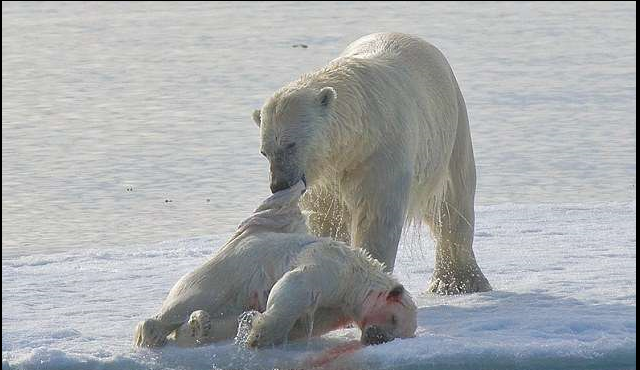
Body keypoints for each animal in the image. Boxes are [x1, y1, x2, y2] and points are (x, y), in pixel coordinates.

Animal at [132, 183, 418, 350]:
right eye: (394, 319)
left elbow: (302, 324)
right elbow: (296, 285)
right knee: (193, 297)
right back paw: (154, 334)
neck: (359, 278)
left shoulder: (337, 310)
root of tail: (241, 236)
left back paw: (199, 325)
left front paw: (251, 327)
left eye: (400, 333)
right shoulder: (332, 266)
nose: (375, 338)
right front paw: (258, 337)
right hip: (226, 271)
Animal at [254, 31, 490, 294]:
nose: (279, 184)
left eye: (291, 144)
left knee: (453, 201)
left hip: (452, 129)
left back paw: (459, 281)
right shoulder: (327, 175)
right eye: (265, 152)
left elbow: (376, 215)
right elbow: (326, 215)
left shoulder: (380, 150)